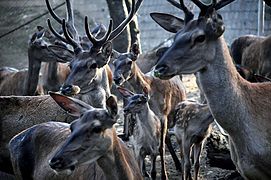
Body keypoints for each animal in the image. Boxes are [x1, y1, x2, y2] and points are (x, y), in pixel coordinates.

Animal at [112, 42, 187, 179]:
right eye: (114, 62)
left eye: (129, 61)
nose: (116, 79)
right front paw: (144, 171)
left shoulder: (163, 115)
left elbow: (161, 147)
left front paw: (164, 175)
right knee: (167, 138)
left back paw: (179, 165)